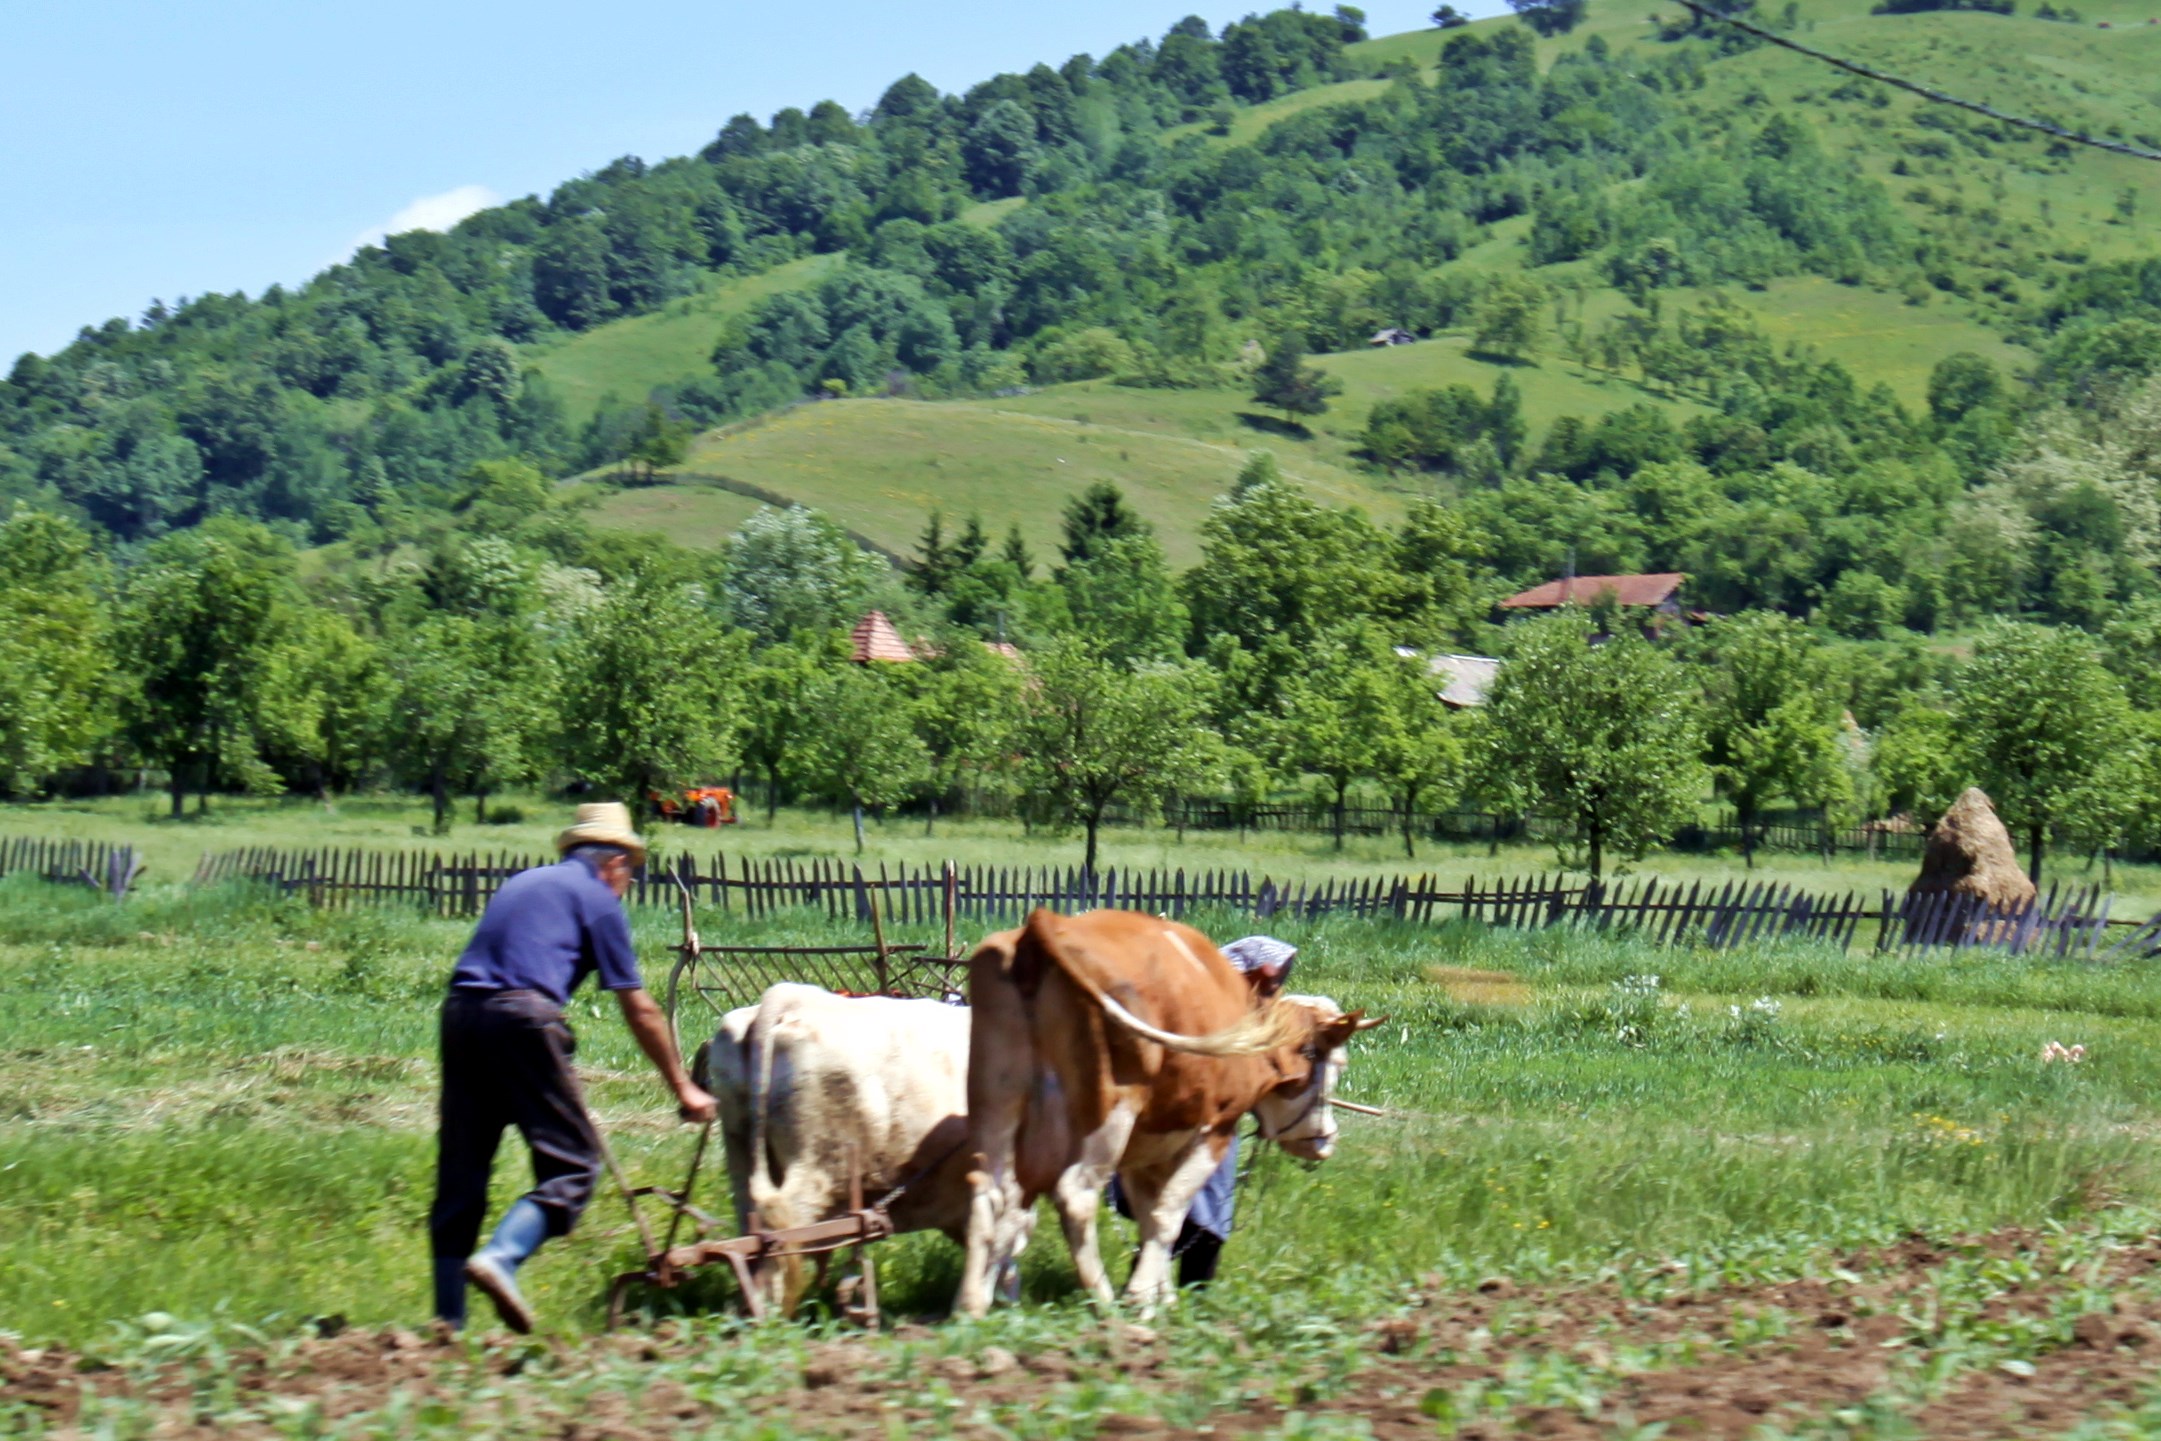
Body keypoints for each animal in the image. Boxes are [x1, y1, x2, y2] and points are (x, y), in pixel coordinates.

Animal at [695, 985, 1024, 1313]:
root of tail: (793, 995)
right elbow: (999, 1235)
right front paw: (978, 1305)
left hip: (740, 1148)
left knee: (749, 1219)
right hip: (819, 1159)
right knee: (779, 1219)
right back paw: (771, 1310)